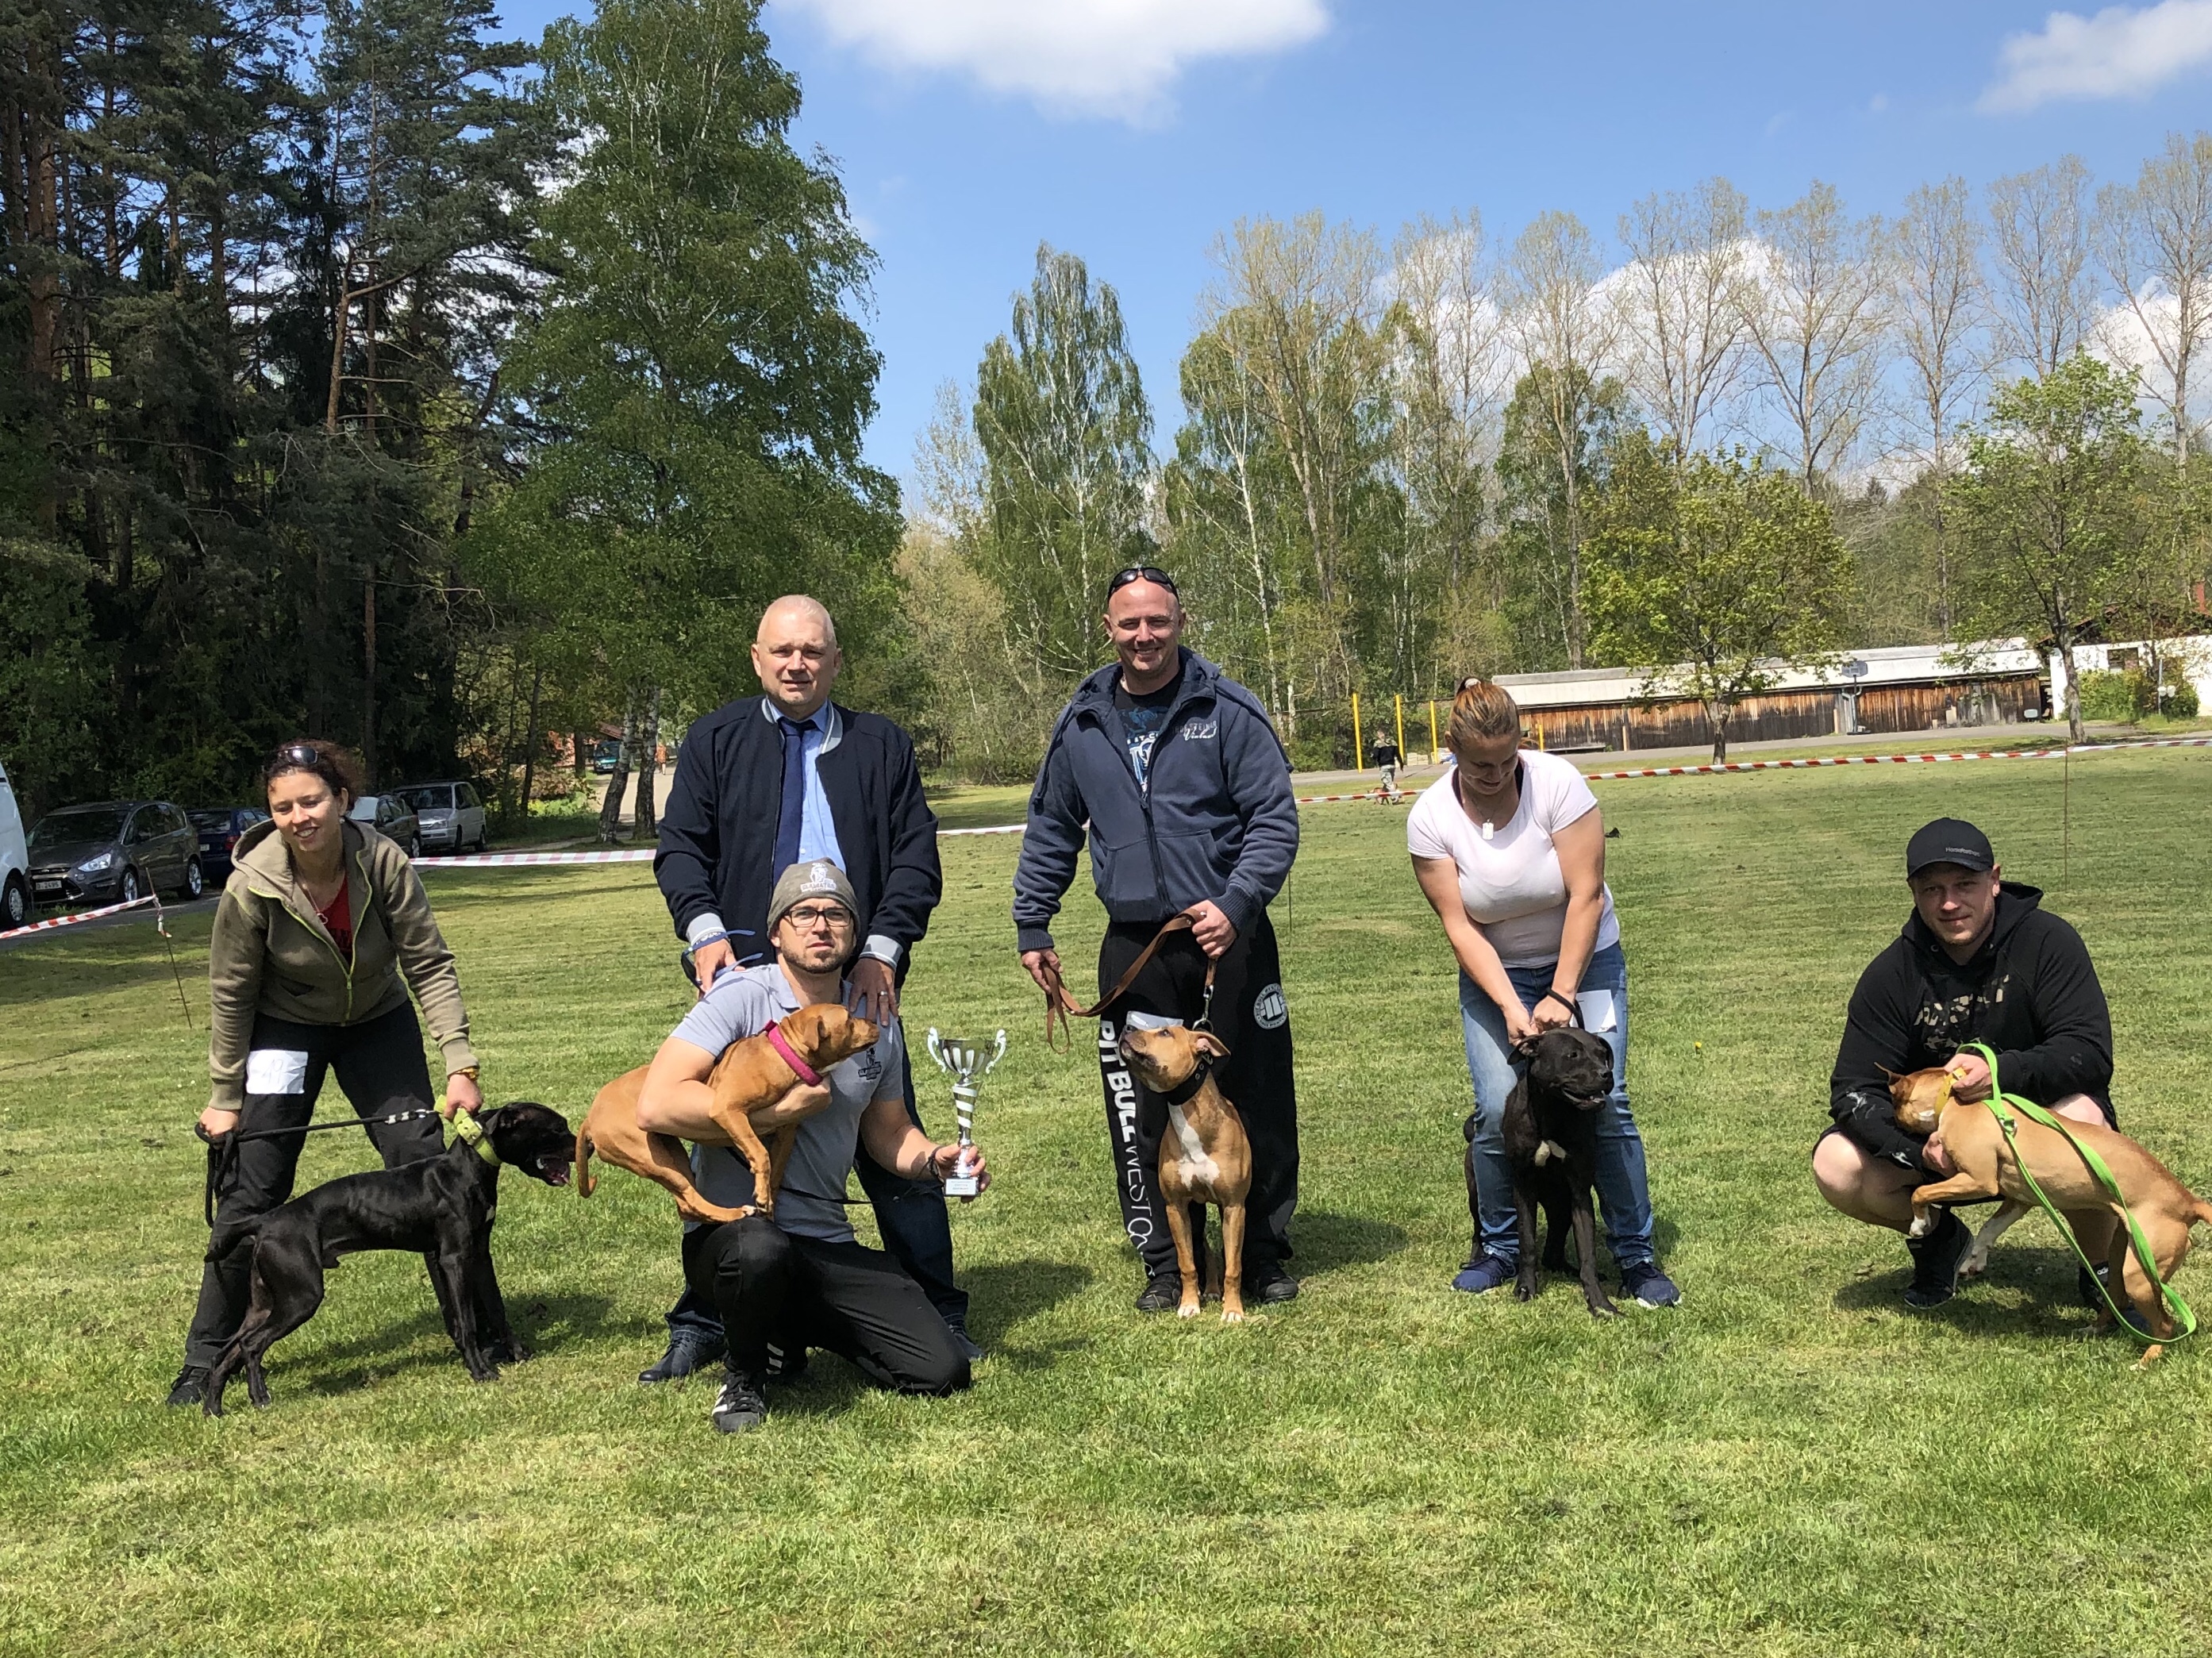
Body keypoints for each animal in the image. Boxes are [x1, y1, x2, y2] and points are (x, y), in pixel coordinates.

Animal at [201, 1102, 576, 1414]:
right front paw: (480, 1370)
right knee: (250, 1346)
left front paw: (518, 1353)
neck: (466, 1169)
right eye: (558, 1128)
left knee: (225, 1352)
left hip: (264, 1302)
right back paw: (260, 1397)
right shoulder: (454, 1259)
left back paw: (213, 1409)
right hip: (301, 1297)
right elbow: (467, 1321)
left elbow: (497, 1309)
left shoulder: (481, 1256)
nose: (582, 1145)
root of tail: (265, 1221)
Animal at [576, 1002, 878, 1224]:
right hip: (651, 1157)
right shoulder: (730, 1110)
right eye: (850, 1018)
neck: (783, 1055)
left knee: (686, 1206)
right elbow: (760, 1154)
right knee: (691, 1199)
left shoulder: (786, 1133)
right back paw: (736, 1213)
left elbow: (776, 1170)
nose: (877, 1023)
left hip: (670, 1153)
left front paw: (768, 1201)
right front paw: (761, 1194)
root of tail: (590, 1118)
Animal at [1117, 1023, 1252, 1322]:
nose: (1126, 1027)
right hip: (1195, 1210)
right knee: (1205, 1250)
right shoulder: (1176, 1207)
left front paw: (1233, 1310)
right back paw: (1210, 1289)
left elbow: (1234, 1266)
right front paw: (1189, 1304)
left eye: (1165, 1033)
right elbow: (1186, 1262)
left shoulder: (1234, 1206)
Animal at [1475, 1027, 1618, 1318]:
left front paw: (1599, 1303)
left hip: (1561, 1207)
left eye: (1602, 1054)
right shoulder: (1523, 1188)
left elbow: (1588, 1254)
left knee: (1554, 1250)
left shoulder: (1579, 1193)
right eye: (1572, 1055)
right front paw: (1525, 1288)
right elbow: (1527, 1243)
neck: (1553, 1112)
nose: (1606, 1074)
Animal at [1890, 1066, 2212, 1363]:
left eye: (1896, 1101)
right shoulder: (2018, 1200)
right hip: (2124, 1256)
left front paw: (1919, 1224)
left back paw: (2146, 1360)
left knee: (2166, 1325)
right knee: (2117, 1301)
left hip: (2140, 1274)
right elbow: (1989, 1228)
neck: (1953, 1100)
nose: (1892, 1121)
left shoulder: (1978, 1180)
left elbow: (1921, 1193)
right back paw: (2093, 1330)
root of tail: (2188, 1202)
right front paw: (1974, 1260)